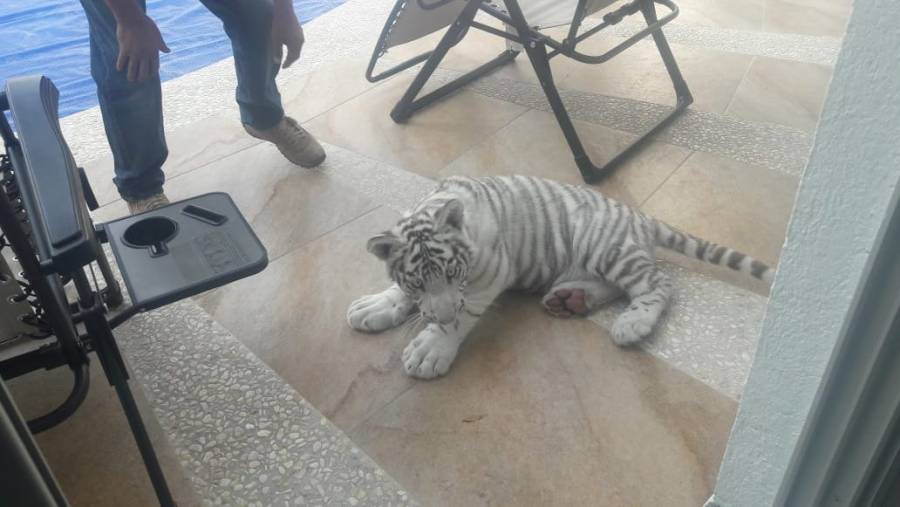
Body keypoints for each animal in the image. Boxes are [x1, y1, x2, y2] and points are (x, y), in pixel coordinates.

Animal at [346, 175, 773, 379]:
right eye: (417, 282)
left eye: (455, 272)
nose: (441, 314)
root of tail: (638, 215)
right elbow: (402, 293)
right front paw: (378, 305)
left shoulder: (491, 273)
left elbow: (462, 315)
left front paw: (431, 348)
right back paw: (571, 300)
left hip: (603, 244)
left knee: (659, 283)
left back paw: (633, 323)